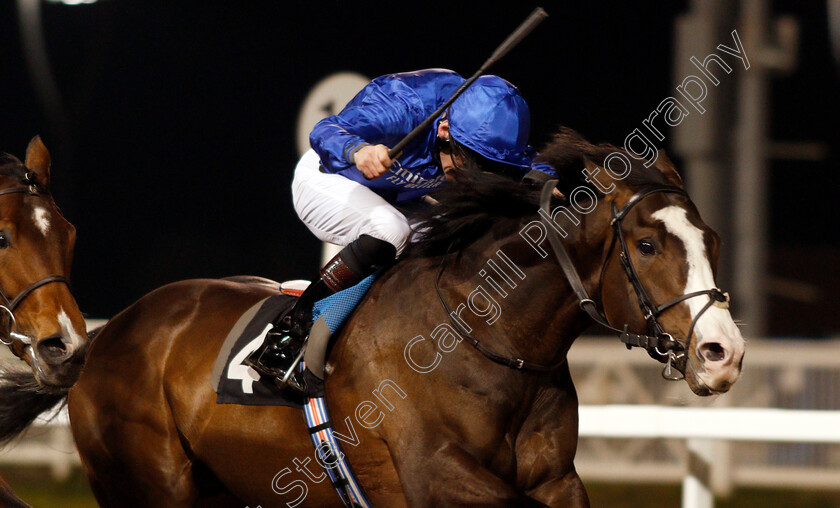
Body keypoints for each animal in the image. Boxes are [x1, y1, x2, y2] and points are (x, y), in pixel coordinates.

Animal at [0, 130, 740, 504]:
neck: (485, 337)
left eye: (713, 238)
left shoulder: (557, 480)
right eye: (647, 244)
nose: (723, 352)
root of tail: (103, 336)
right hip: (150, 485)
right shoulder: (436, 476)